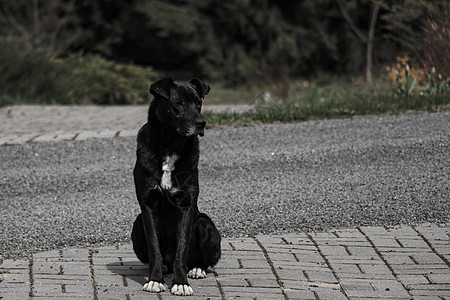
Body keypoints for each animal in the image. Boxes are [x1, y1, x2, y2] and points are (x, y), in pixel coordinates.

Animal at [130, 77, 221, 296]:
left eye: (199, 103)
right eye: (178, 103)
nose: (201, 123)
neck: (171, 145)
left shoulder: (186, 205)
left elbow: (182, 249)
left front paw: (181, 283)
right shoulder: (148, 205)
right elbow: (154, 247)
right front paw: (155, 280)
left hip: (206, 224)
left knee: (199, 258)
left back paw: (196, 269)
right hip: (137, 224)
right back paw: (164, 267)